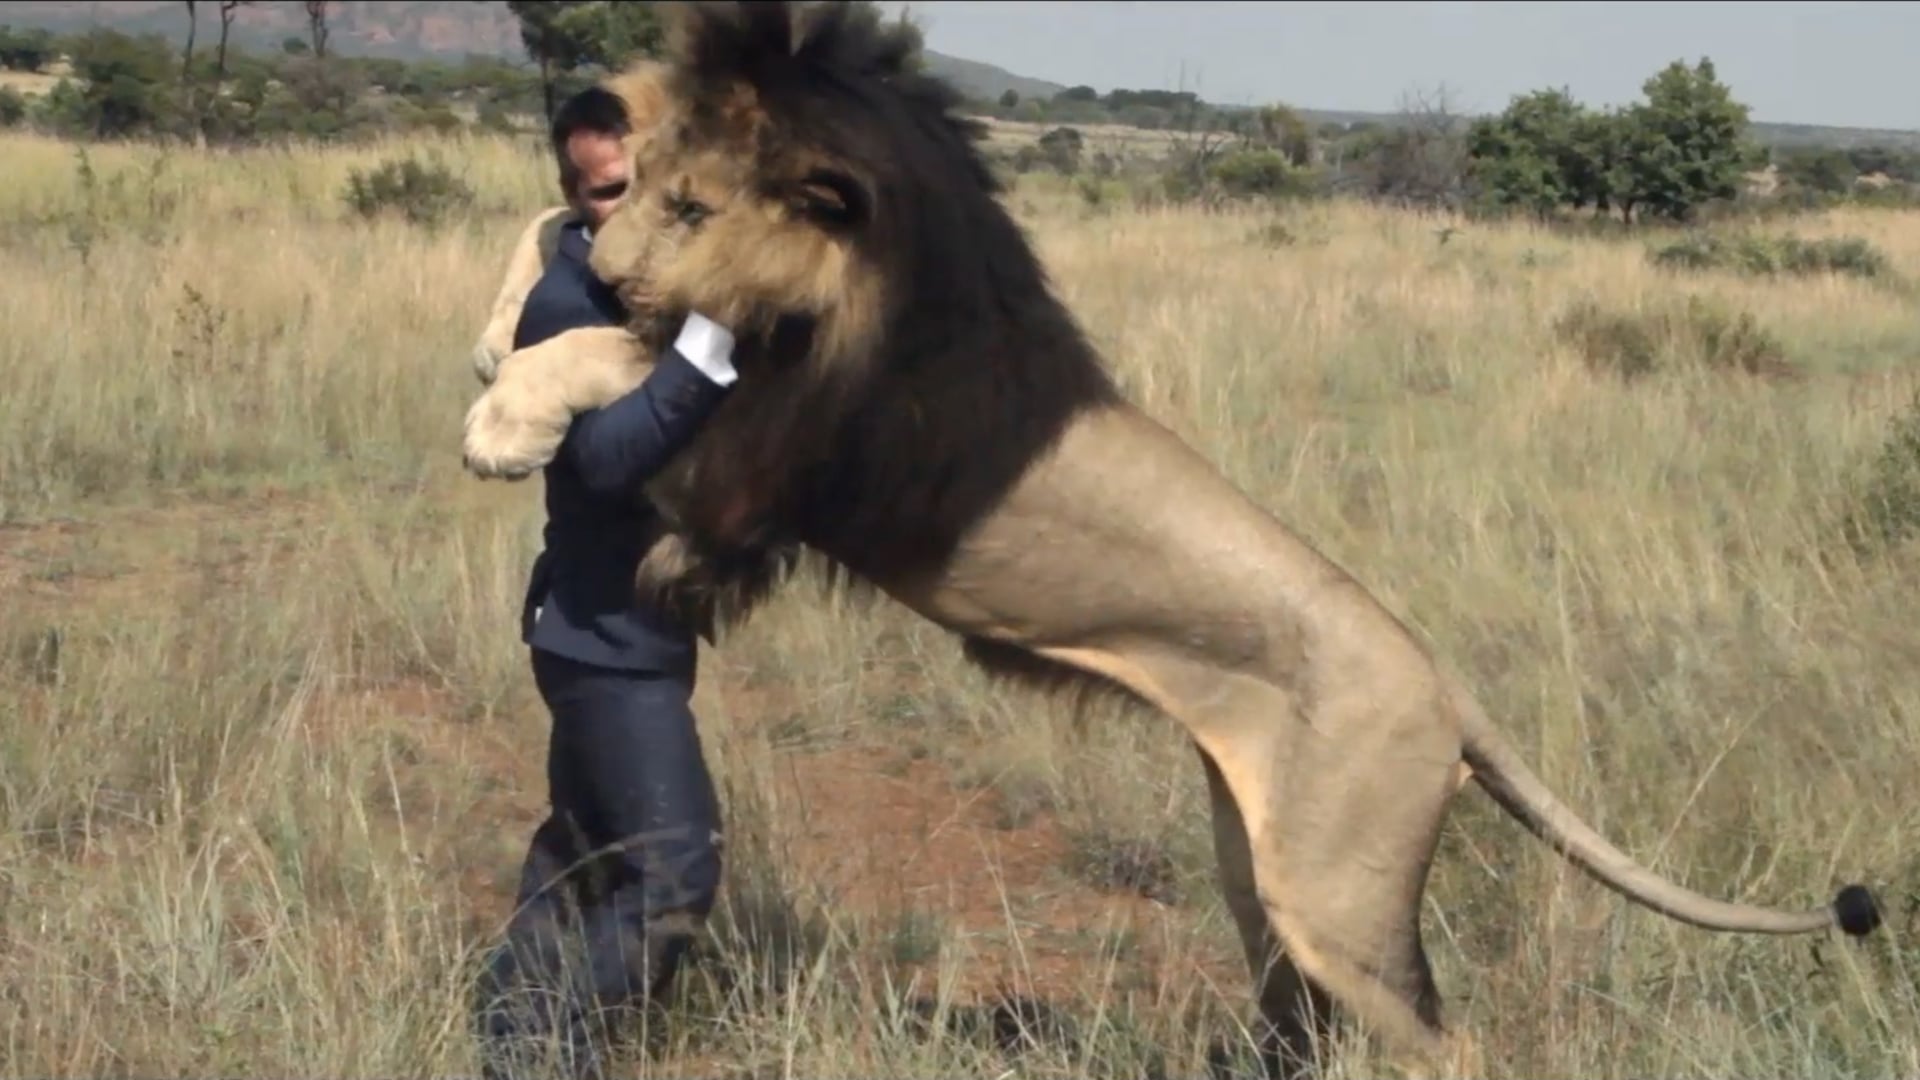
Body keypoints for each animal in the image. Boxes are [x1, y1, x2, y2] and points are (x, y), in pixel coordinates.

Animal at [458, 3, 1885, 1076]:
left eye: (695, 208)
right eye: (639, 183)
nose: (615, 255)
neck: (866, 283)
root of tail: (1447, 688)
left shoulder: (782, 454)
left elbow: (619, 355)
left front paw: (505, 416)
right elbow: (588, 312)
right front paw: (509, 322)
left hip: (1344, 903)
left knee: (1443, 1047)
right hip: (1269, 880)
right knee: (1303, 1020)